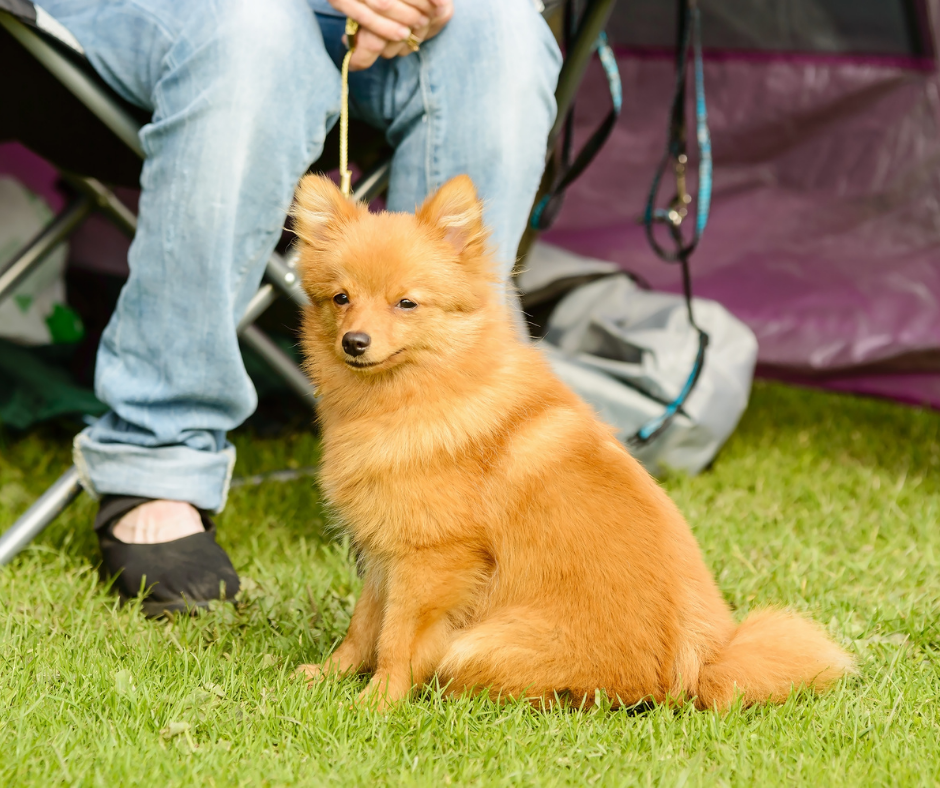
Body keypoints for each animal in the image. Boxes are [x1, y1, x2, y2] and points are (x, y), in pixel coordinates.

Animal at [290, 174, 856, 716]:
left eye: (406, 303)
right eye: (341, 298)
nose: (354, 342)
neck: (423, 393)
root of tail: (696, 673)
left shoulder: (430, 559)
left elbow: (397, 639)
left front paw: (379, 700)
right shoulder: (383, 552)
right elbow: (364, 626)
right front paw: (330, 676)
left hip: (477, 647)